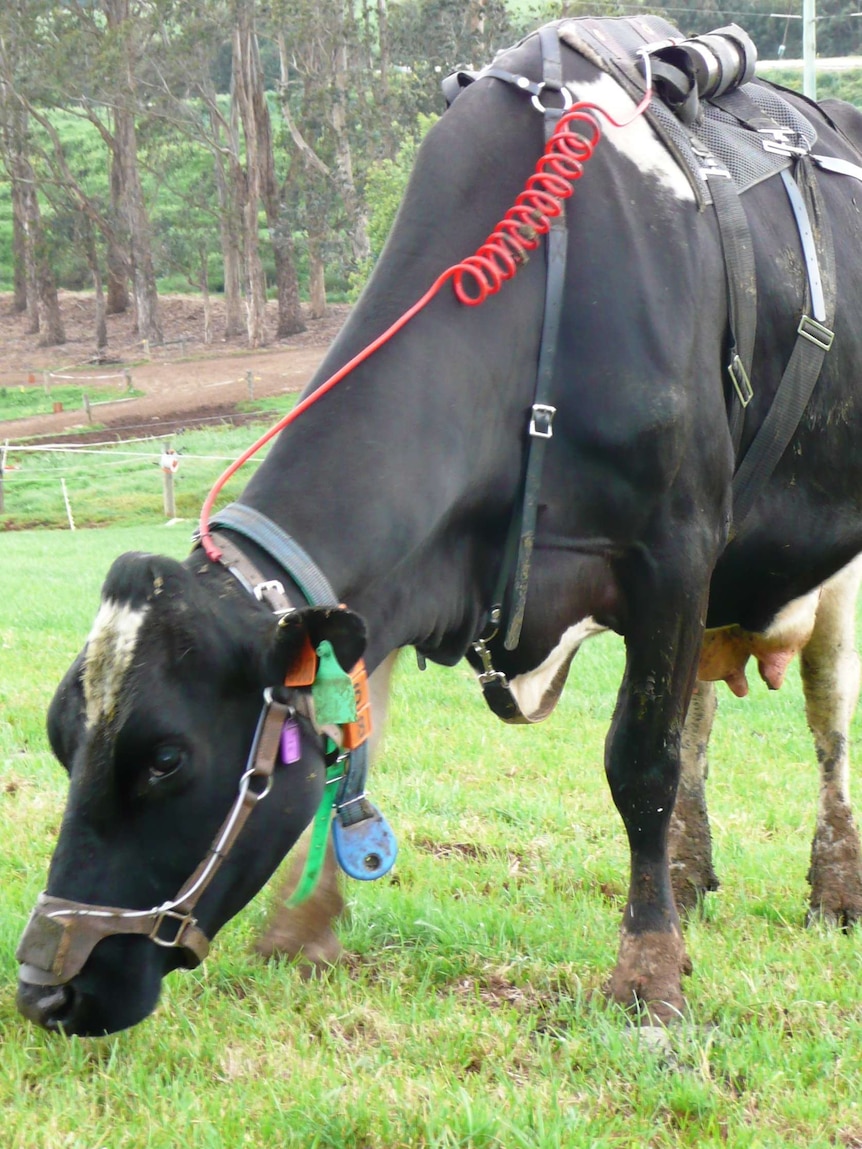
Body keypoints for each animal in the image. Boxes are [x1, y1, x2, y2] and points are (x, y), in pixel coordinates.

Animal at [13, 22, 862, 1034]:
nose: (43, 986)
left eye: (167, 758)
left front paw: (648, 972)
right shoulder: (397, 584)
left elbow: (640, 763)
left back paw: (833, 884)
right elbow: (361, 726)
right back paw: (693, 874)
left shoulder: (675, 550)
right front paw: (303, 925)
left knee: (826, 714)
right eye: (62, 737)